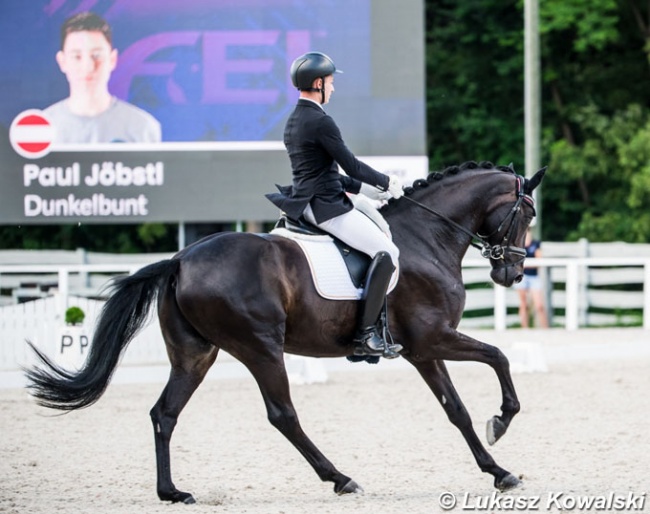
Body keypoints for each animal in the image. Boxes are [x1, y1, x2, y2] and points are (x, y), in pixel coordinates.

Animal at [24, 161, 540, 504]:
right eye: (528, 214)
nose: (512, 274)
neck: (426, 237)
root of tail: (180, 260)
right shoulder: (433, 338)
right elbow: (499, 356)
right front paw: (502, 421)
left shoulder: (421, 351)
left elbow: (457, 410)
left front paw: (498, 470)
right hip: (260, 348)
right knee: (282, 415)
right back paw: (340, 478)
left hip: (196, 355)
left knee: (164, 413)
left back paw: (172, 491)